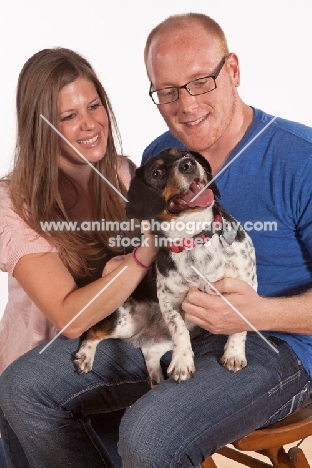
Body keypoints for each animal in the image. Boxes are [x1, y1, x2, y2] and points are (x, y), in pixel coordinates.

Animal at [74, 148, 258, 386]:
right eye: (157, 172)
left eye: (186, 154)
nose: (188, 164)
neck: (195, 238)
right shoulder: (169, 301)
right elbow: (179, 330)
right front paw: (182, 363)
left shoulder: (246, 285)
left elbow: (239, 323)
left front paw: (233, 354)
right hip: (128, 322)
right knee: (94, 331)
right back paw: (85, 356)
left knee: (151, 356)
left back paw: (156, 380)